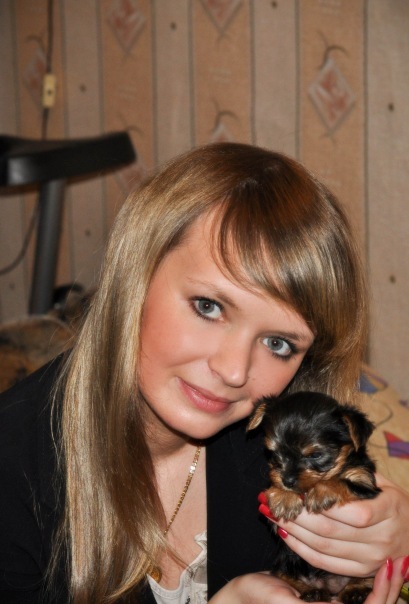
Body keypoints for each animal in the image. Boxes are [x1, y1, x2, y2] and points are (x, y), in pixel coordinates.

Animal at [247, 391, 381, 603]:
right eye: (274, 453)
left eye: (315, 455)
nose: (287, 480)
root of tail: (330, 586)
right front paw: (284, 497)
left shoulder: (365, 484)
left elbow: (340, 482)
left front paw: (320, 492)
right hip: (286, 559)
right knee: (283, 573)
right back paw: (312, 591)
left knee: (366, 575)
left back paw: (355, 590)